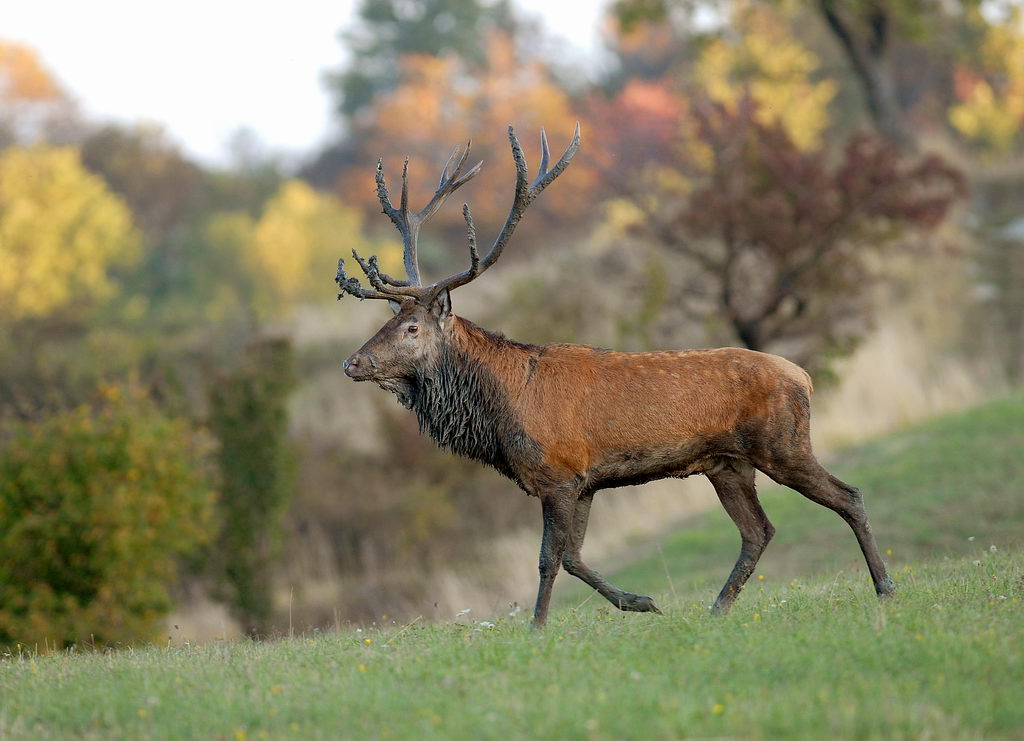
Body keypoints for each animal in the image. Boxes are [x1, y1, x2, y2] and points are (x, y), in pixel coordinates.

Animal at [337, 124, 897, 626]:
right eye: (385, 321)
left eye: (411, 328)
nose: (353, 362)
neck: (501, 415)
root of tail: (803, 375)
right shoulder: (585, 483)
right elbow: (574, 557)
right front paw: (642, 602)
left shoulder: (558, 475)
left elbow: (549, 560)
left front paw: (538, 628)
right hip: (727, 464)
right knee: (758, 530)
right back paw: (718, 608)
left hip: (782, 443)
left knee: (847, 496)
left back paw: (885, 587)